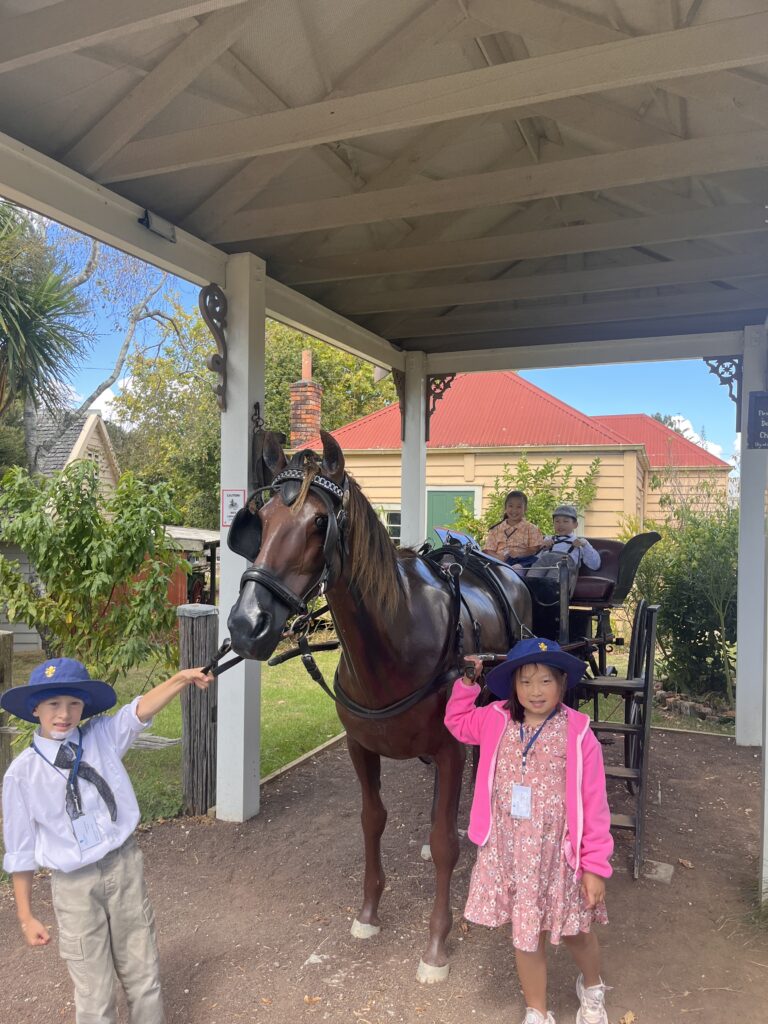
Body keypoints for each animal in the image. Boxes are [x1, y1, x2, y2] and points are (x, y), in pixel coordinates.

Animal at [225, 428, 532, 978]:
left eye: (320, 522)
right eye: (261, 520)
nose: (246, 624)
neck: (398, 634)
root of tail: (500, 567)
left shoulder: (449, 748)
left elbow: (444, 843)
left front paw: (437, 942)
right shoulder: (360, 747)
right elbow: (373, 820)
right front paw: (368, 911)